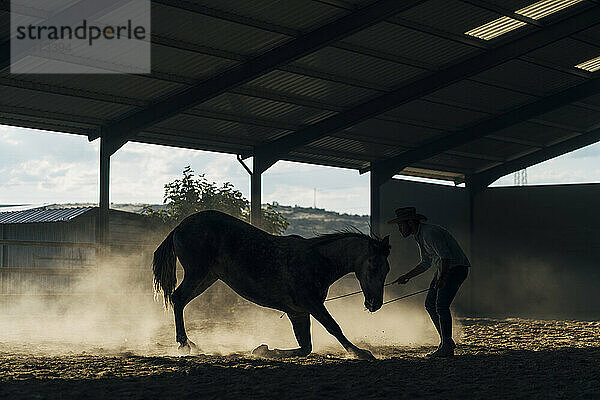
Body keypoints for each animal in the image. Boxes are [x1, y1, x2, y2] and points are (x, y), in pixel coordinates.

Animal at [152, 209, 392, 360]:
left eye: (387, 269)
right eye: (374, 266)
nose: (374, 304)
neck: (315, 260)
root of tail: (180, 226)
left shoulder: (298, 312)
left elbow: (305, 347)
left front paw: (263, 349)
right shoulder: (312, 305)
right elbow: (334, 328)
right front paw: (360, 352)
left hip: (207, 277)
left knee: (180, 300)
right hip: (197, 274)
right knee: (177, 299)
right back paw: (184, 344)